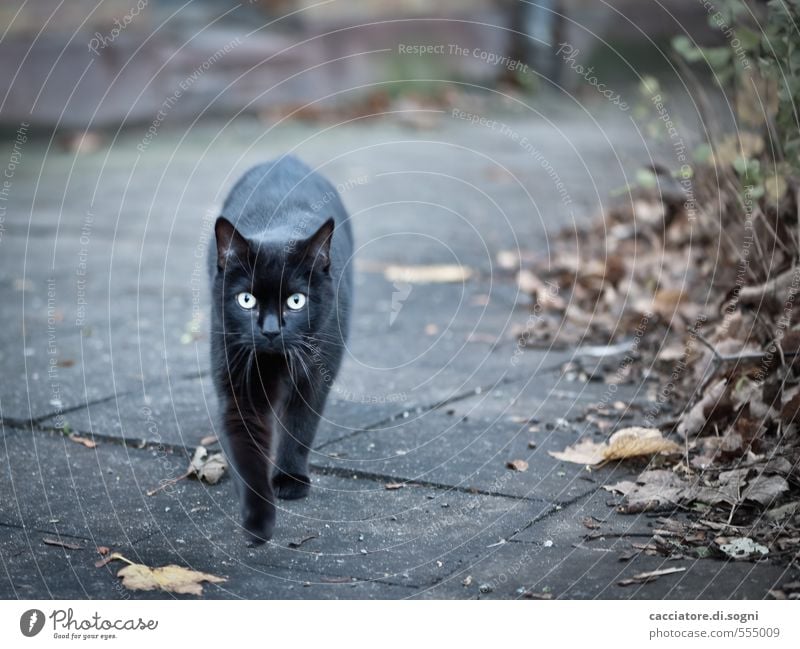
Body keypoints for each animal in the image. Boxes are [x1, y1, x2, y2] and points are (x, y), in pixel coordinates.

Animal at [209, 154, 354, 544]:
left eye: (295, 300)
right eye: (246, 300)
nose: (271, 330)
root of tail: (286, 158)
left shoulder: (316, 373)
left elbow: (300, 426)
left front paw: (290, 480)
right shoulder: (237, 377)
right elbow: (246, 445)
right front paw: (258, 516)